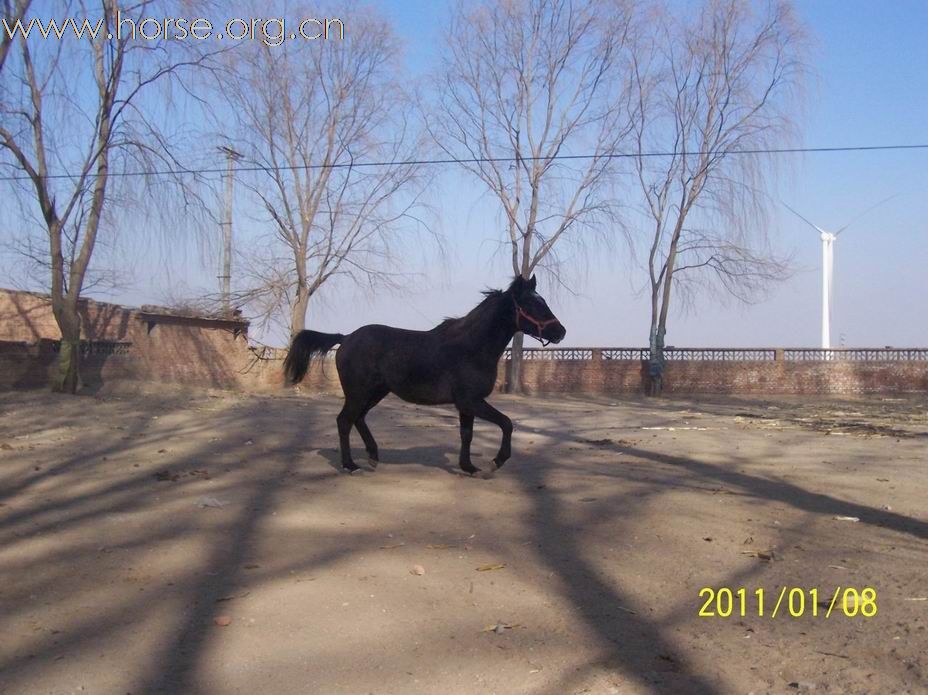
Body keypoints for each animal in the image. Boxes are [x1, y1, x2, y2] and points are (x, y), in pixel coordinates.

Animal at [283, 275, 566, 476]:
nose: (560, 332)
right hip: (358, 392)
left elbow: (467, 434)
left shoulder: (466, 405)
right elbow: (507, 423)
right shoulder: (472, 401)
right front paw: (495, 461)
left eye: (543, 301)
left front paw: (469, 467)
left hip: (375, 392)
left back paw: (373, 457)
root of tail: (346, 338)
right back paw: (351, 465)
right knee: (344, 421)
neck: (471, 347)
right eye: (532, 304)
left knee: (358, 419)